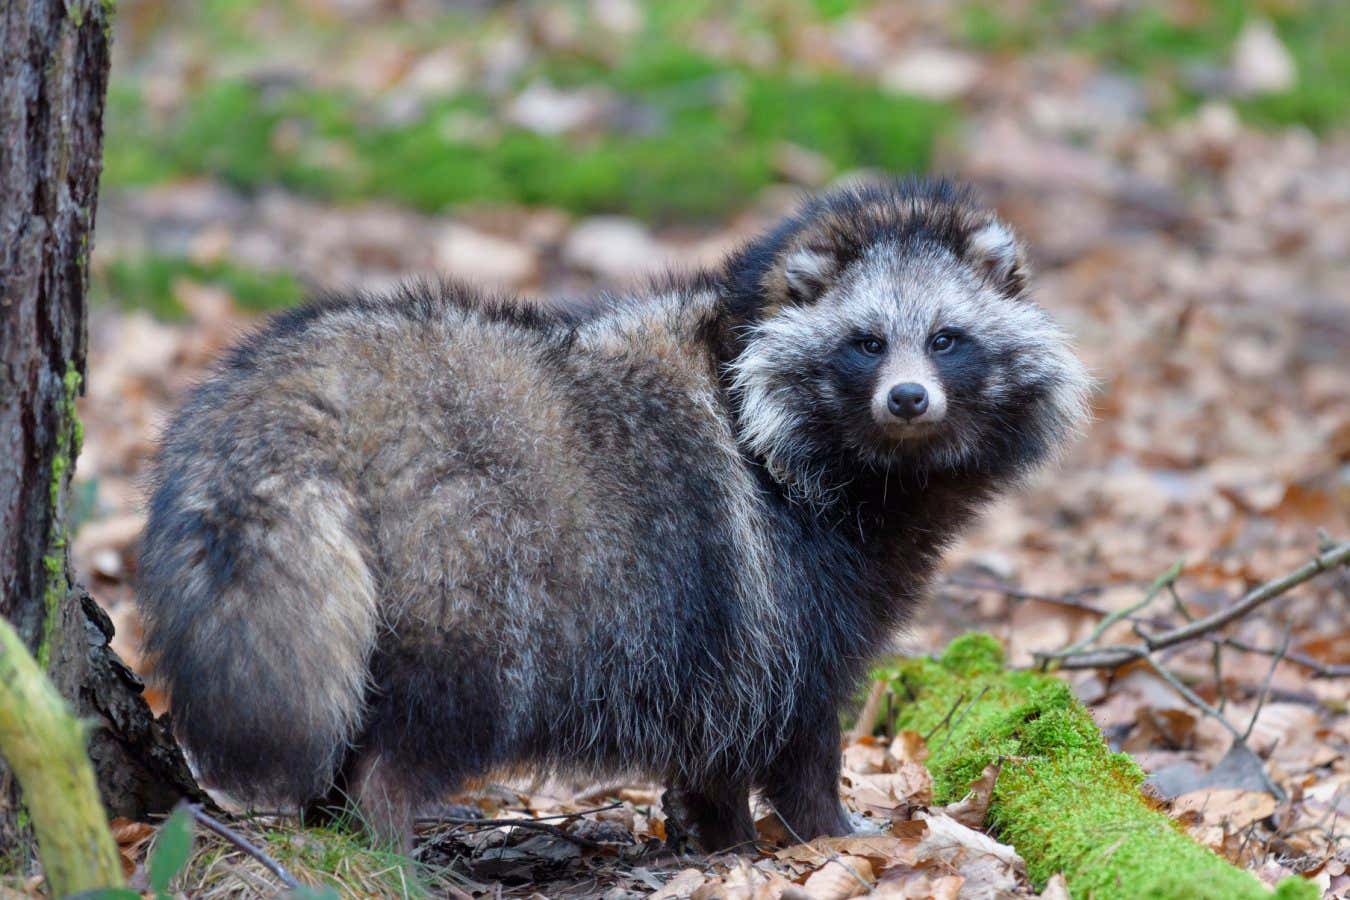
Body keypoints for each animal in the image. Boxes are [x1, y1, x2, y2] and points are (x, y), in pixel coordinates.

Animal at [137, 179, 1089, 852]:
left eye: (945, 338)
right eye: (866, 342)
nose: (908, 399)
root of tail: (318, 390)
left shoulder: (726, 629)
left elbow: (717, 738)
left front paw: (720, 837)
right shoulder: (790, 579)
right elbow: (793, 720)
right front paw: (829, 831)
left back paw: (337, 832)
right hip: (471, 565)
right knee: (434, 720)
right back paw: (386, 837)